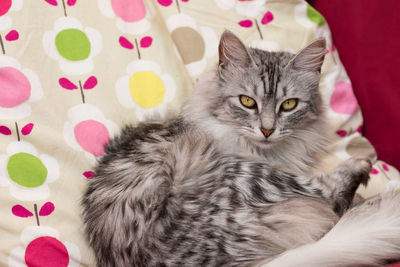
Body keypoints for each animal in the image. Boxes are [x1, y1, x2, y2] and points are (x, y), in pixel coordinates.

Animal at [81, 31, 400, 267]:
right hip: (252, 176)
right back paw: (362, 172)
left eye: (289, 105)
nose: (267, 130)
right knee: (334, 196)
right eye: (247, 102)